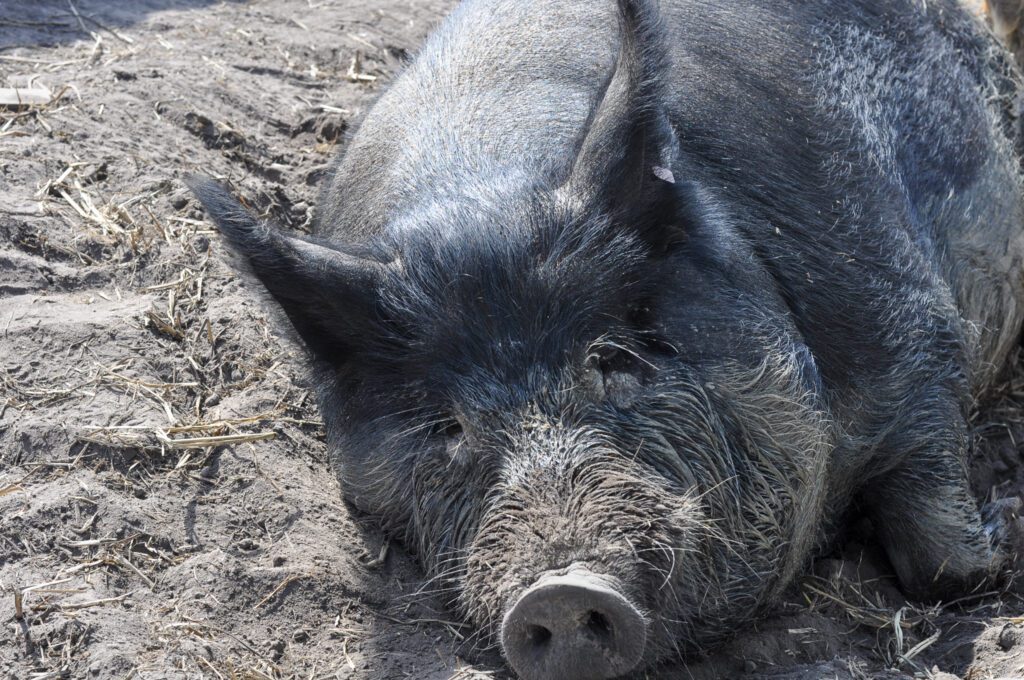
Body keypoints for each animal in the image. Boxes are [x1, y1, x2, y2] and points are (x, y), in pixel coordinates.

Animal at [188, 0, 1024, 677]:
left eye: (611, 360)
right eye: (448, 427)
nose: (558, 591)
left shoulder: (908, 327)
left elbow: (937, 549)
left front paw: (997, 545)